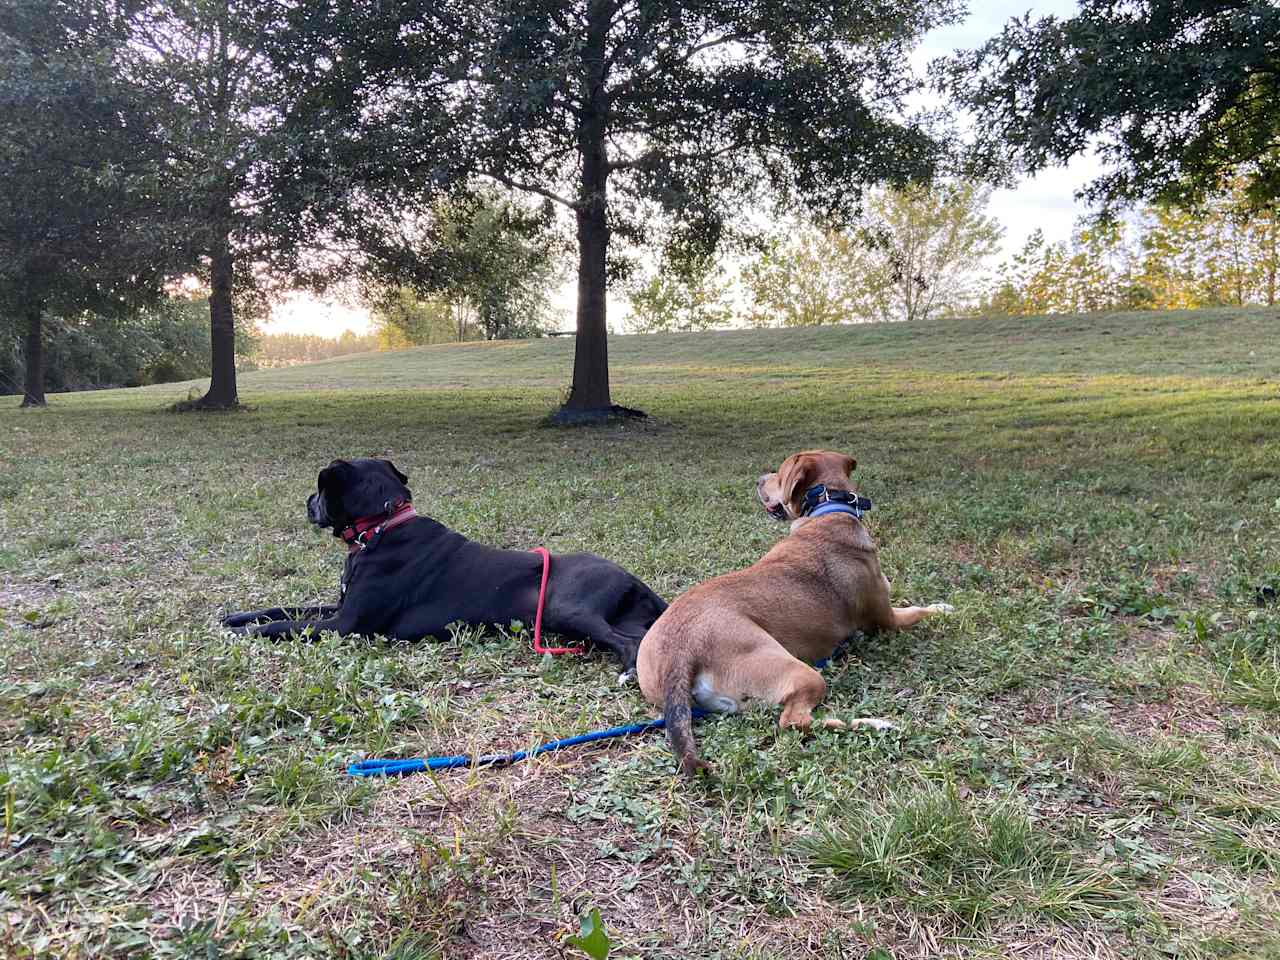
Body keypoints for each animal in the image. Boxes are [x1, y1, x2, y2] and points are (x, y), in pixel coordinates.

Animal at [218, 458, 665, 670]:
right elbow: (284, 608)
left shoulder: (345, 625)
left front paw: (244, 634)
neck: (381, 526)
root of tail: (633, 579)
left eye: (320, 489)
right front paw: (236, 617)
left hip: (566, 608)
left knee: (627, 645)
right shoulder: (338, 607)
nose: (308, 503)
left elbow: (285, 626)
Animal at [634, 453, 957, 783]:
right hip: (804, 674)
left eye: (779, 475)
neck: (829, 511)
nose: (759, 479)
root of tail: (679, 651)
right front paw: (942, 609)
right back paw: (873, 724)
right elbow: (917, 610)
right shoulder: (887, 620)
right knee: (794, 723)